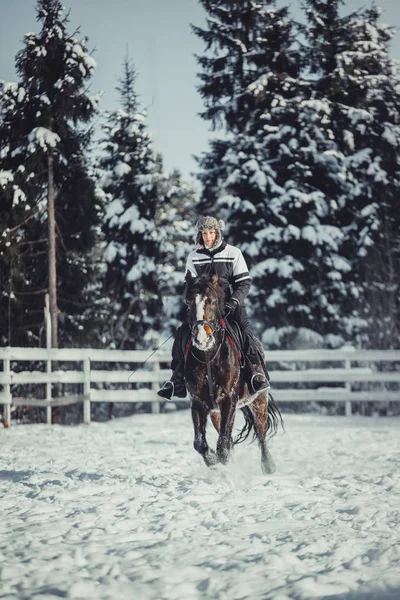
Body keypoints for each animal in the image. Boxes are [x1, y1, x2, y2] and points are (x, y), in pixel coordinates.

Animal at [183, 272, 282, 474]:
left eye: (212, 301)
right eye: (188, 302)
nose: (201, 338)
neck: (209, 357)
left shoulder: (229, 400)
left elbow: (223, 445)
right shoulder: (198, 402)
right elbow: (201, 443)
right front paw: (213, 461)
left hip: (259, 402)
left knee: (261, 434)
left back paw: (268, 466)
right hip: (216, 413)